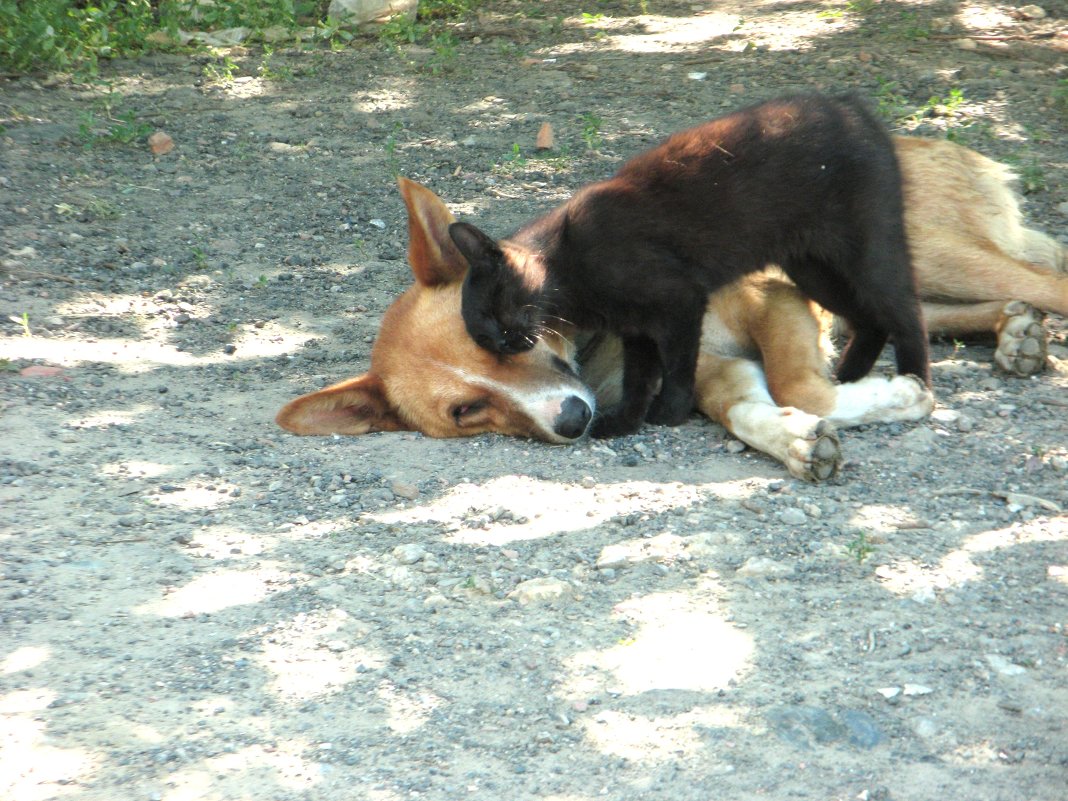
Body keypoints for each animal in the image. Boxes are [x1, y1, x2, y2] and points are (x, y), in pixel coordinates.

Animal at [277, 136, 1068, 482]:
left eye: (507, 347)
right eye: (466, 410)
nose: (575, 420)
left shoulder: (768, 297)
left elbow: (804, 385)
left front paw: (899, 397)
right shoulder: (717, 369)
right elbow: (751, 410)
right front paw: (797, 440)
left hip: (902, 259)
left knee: (1038, 280)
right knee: (948, 311)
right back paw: (1015, 336)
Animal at [450, 93, 927, 440]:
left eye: (493, 310)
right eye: (484, 337)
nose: (504, 340)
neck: (568, 266)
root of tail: (850, 106)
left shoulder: (679, 301)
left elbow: (678, 366)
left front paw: (671, 412)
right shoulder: (635, 327)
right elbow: (639, 377)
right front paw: (625, 421)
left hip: (867, 254)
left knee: (906, 314)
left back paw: (917, 383)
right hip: (814, 269)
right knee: (870, 322)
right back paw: (850, 379)